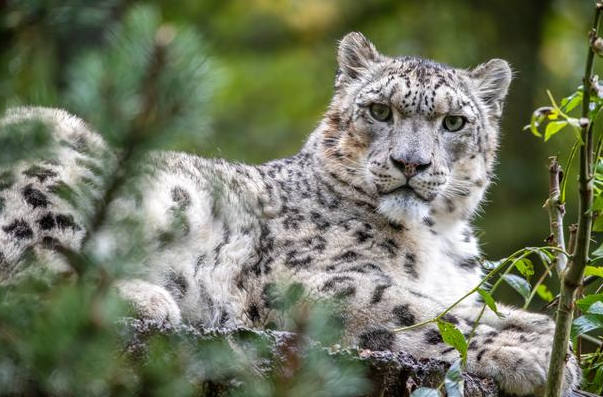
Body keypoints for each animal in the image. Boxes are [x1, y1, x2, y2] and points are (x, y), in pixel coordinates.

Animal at [1, 32, 584, 394]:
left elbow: (486, 307)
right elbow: (427, 313)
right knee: (29, 279)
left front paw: (549, 340)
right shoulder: (319, 282)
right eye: (379, 110)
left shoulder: (459, 283)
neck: (438, 237)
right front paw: (539, 358)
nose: (410, 163)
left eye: (455, 122)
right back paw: (150, 299)